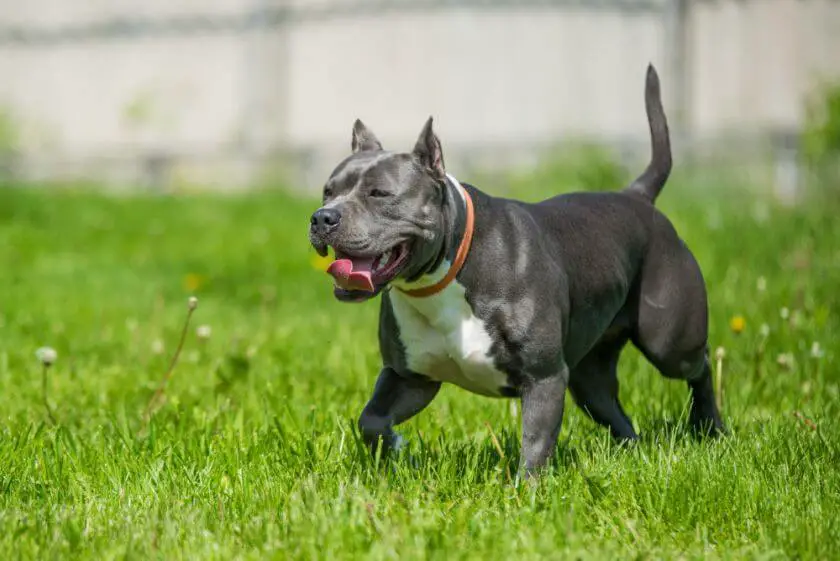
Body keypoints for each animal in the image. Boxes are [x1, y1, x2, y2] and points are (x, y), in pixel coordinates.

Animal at [312, 66, 724, 476]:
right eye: (327, 191)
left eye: (379, 194)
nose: (322, 217)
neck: (446, 275)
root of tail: (637, 196)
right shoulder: (409, 377)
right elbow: (371, 420)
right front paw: (398, 449)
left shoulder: (543, 378)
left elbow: (535, 443)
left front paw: (528, 490)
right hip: (589, 375)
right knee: (613, 410)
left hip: (668, 342)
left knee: (699, 366)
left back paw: (710, 428)